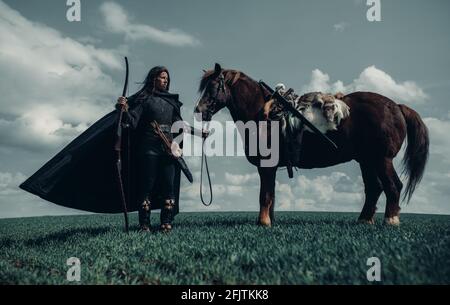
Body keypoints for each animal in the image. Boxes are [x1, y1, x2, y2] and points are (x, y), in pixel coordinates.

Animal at [193, 63, 428, 226]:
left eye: (213, 87)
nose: (198, 109)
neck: (263, 114)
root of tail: (396, 106)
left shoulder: (266, 166)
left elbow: (265, 195)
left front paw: (263, 222)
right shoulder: (270, 168)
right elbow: (272, 195)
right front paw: (270, 221)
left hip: (381, 159)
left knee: (393, 186)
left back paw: (390, 220)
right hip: (367, 160)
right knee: (374, 188)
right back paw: (364, 220)